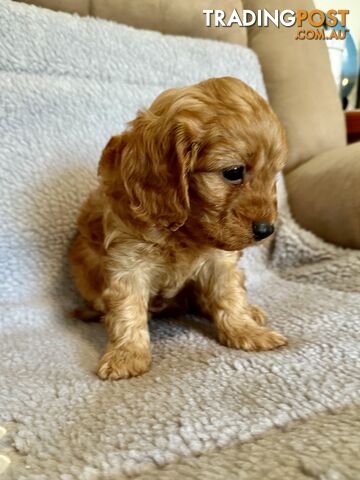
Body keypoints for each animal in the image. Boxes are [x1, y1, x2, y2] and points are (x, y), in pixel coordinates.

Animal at [69, 77, 288, 380]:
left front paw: (247, 331)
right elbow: (127, 309)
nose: (266, 230)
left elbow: (229, 295)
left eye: (274, 175)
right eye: (233, 172)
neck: (184, 228)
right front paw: (127, 355)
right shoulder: (128, 260)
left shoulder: (220, 260)